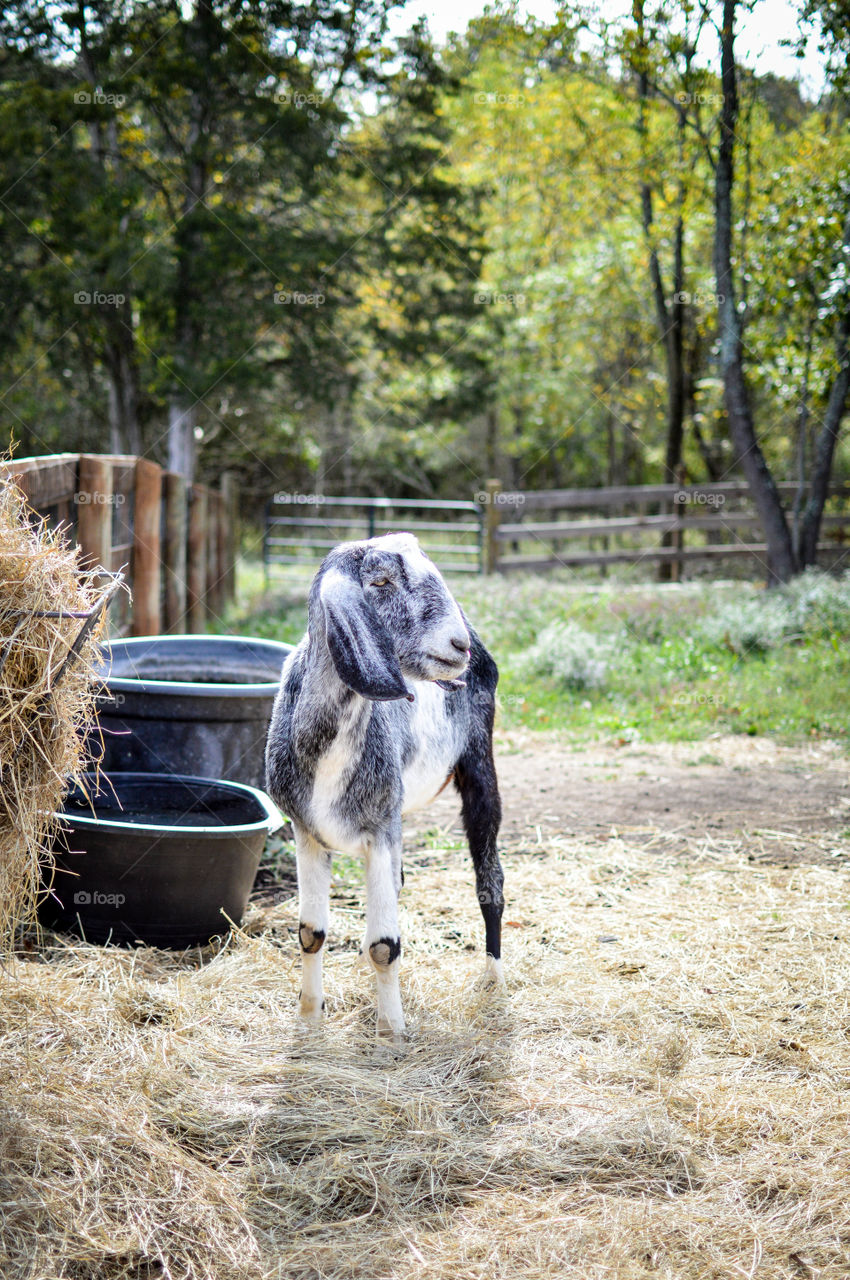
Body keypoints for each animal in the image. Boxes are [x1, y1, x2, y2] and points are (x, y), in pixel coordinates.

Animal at [265, 532, 504, 1034]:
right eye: (380, 581)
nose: (458, 645)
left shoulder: (379, 831)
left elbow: (384, 946)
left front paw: (392, 1032)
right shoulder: (307, 833)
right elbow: (310, 933)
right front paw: (309, 1018)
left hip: (480, 766)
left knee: (490, 879)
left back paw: (493, 978)